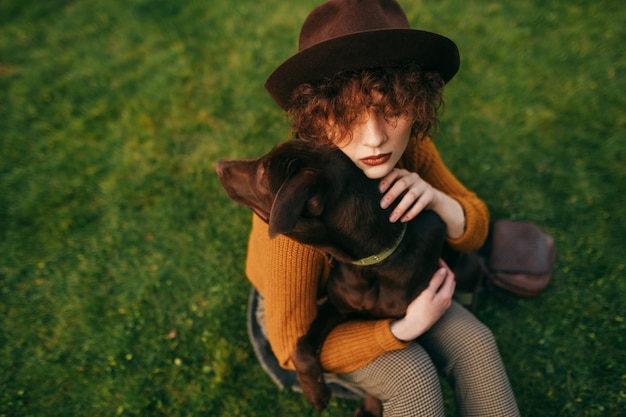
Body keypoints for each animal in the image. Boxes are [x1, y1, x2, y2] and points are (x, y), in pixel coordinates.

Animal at [217, 139, 446, 412]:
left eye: (263, 173)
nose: (219, 165)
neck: (370, 266)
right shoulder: (336, 306)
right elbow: (300, 346)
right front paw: (316, 392)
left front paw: (369, 405)